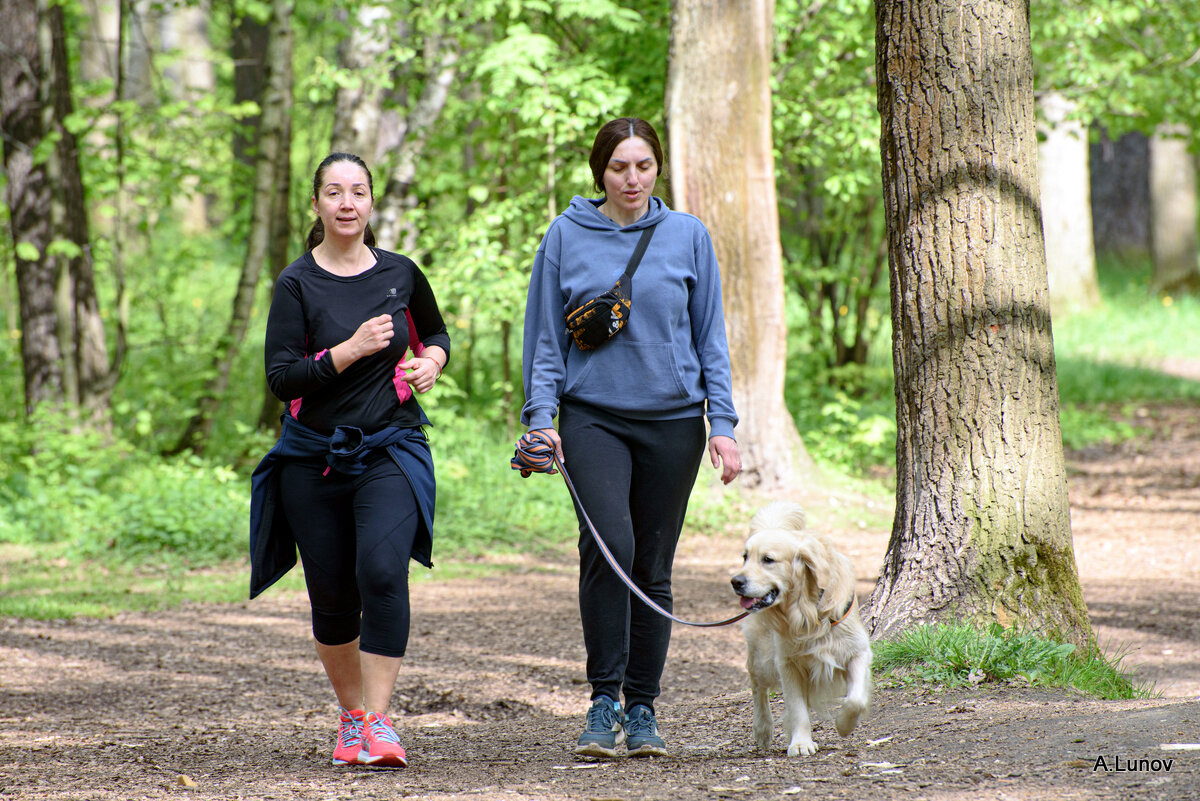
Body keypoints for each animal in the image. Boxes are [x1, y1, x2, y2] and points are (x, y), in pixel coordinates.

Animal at [729, 501, 873, 757]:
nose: (736, 581)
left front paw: (844, 725)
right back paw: (762, 729)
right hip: (763, 658)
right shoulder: (787, 663)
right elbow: (797, 709)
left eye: (768, 559)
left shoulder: (858, 651)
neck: (807, 611)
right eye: (745, 558)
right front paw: (800, 743)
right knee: (757, 686)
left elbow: (855, 699)